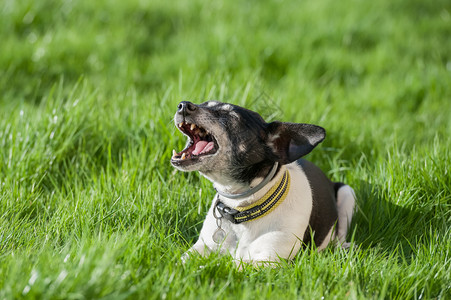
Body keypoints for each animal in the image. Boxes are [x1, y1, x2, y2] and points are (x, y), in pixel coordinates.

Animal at [170, 101, 356, 264]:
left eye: (230, 116)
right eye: (204, 103)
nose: (183, 105)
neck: (241, 208)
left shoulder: (268, 260)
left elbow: (234, 265)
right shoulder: (202, 247)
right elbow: (183, 261)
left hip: (347, 193)